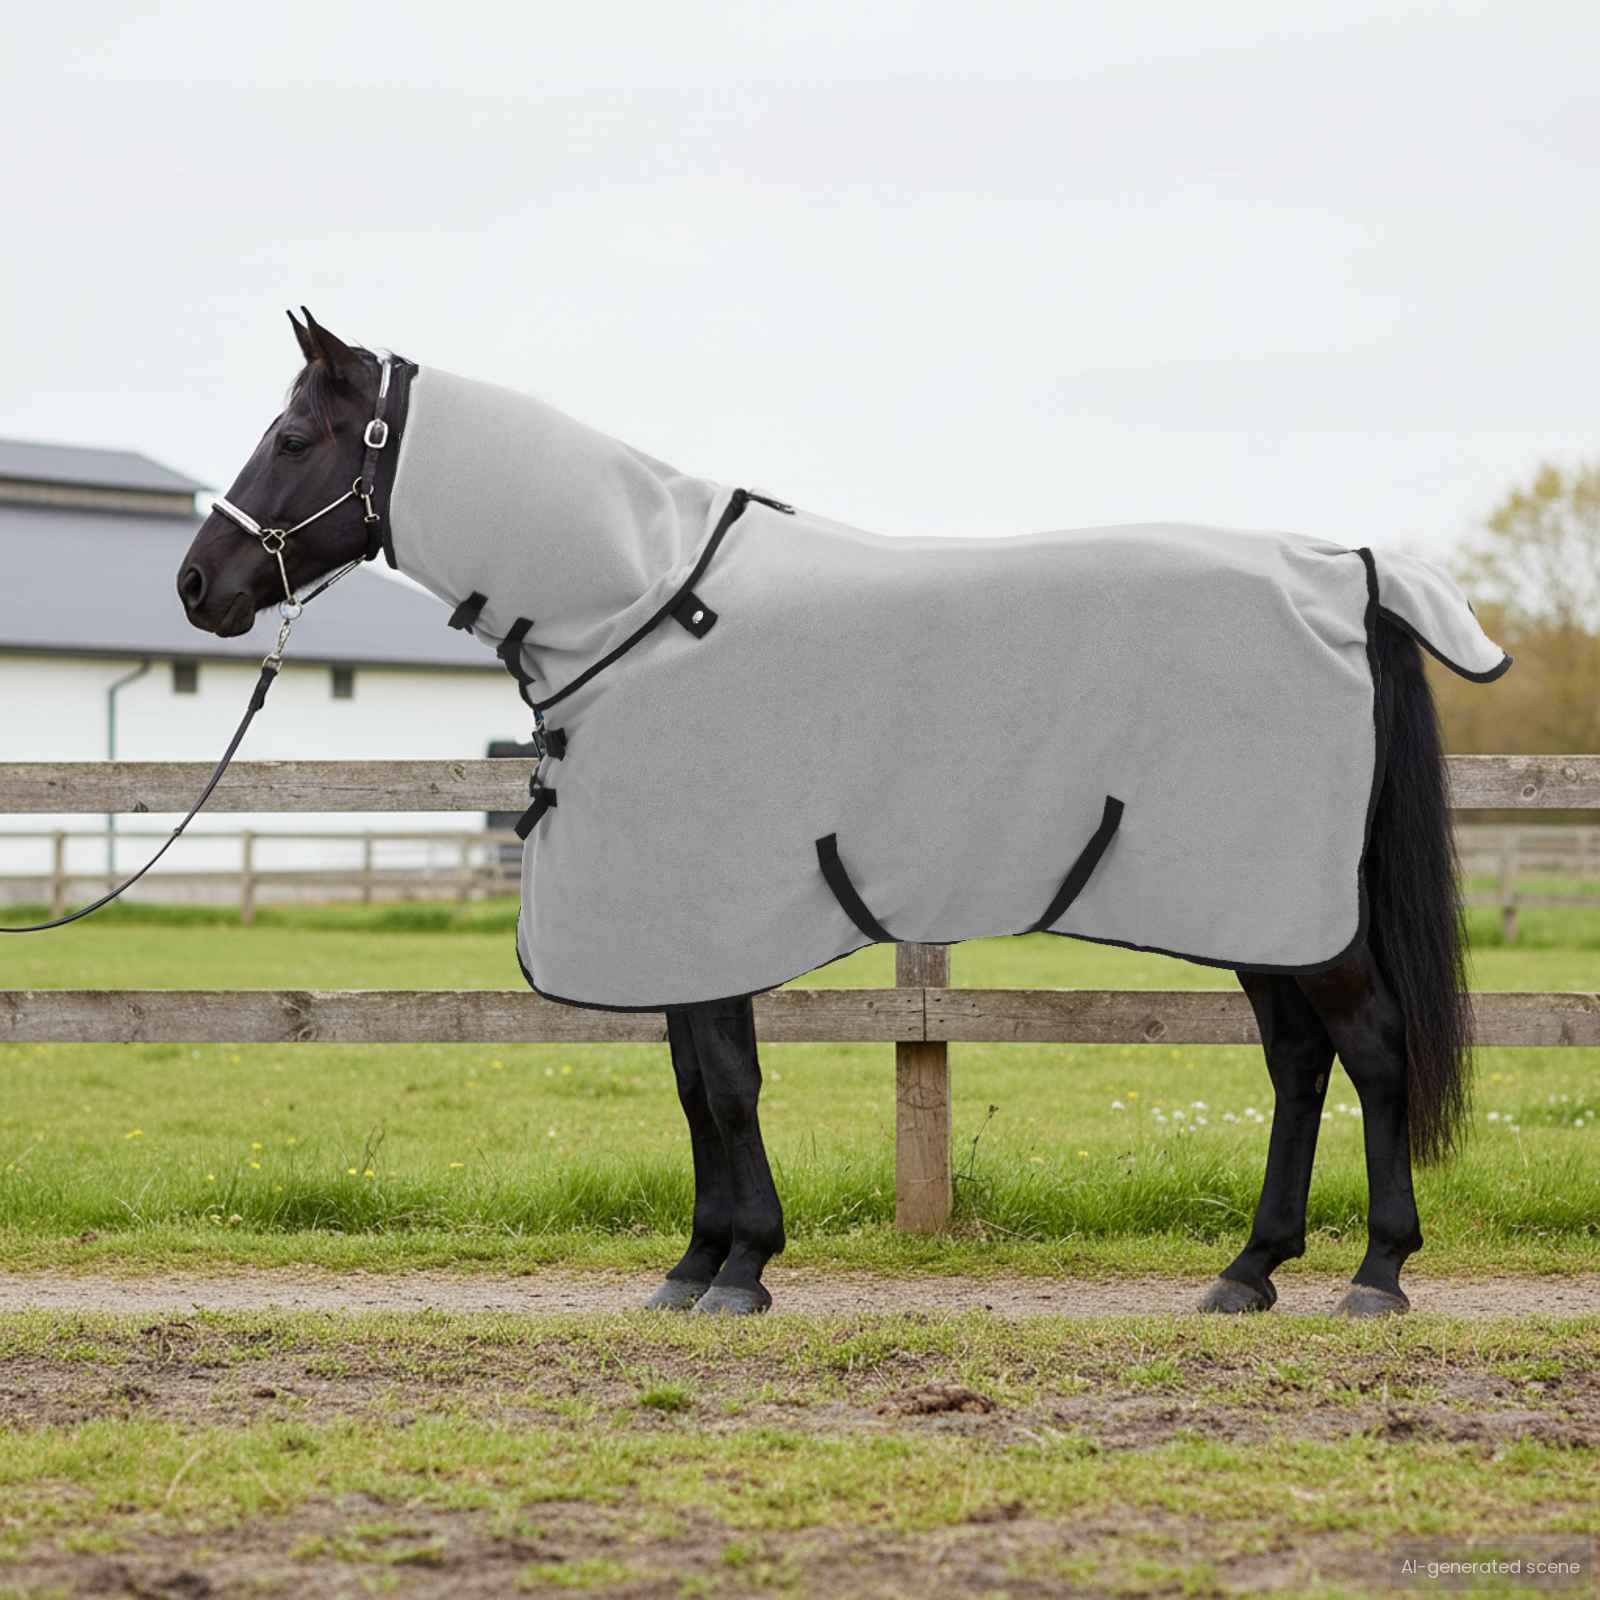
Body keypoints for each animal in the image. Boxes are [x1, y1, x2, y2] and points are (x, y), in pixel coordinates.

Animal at [177, 309, 1498, 1318]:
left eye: (292, 435)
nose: (198, 586)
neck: (645, 606)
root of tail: (1349, 575)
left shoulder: (711, 912)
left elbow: (726, 1084)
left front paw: (741, 1268)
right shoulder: (676, 927)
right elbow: (695, 1085)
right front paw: (695, 1264)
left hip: (1294, 913)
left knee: (1372, 1051)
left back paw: (1376, 1273)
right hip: (1259, 913)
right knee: (1298, 1064)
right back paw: (1249, 1269)